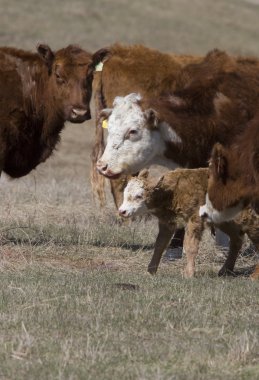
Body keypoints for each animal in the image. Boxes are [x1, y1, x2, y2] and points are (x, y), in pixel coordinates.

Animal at [119, 169, 259, 280]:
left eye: (139, 196)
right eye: (125, 194)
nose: (122, 211)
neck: (172, 191)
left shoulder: (195, 219)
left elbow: (190, 246)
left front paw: (189, 274)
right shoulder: (166, 223)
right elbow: (159, 245)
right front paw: (150, 271)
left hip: (250, 220)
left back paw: (254, 276)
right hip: (226, 222)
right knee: (237, 240)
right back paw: (225, 270)